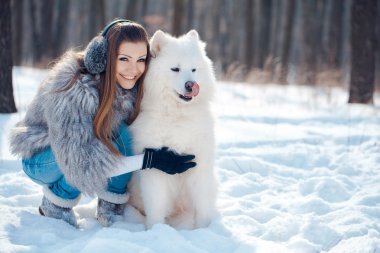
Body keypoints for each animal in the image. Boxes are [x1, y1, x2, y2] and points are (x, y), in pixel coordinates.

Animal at [127, 29, 217, 229]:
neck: (177, 114)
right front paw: (155, 230)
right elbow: (156, 206)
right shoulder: (156, 165)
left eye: (193, 69)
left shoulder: (199, 165)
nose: (191, 85)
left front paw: (204, 230)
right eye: (175, 69)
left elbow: (203, 206)